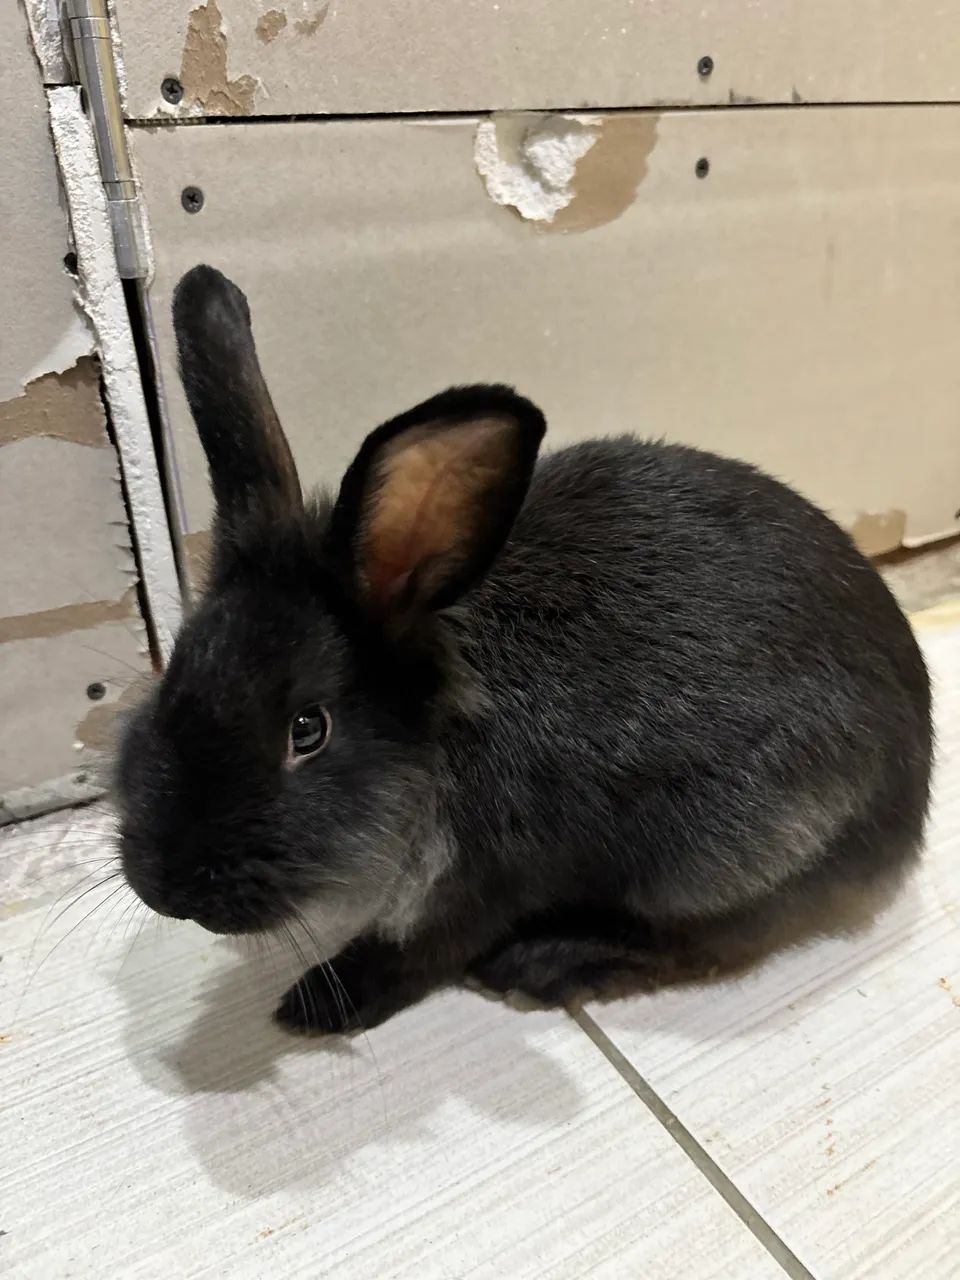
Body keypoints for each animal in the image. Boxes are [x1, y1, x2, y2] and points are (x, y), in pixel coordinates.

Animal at [116, 264, 932, 1034]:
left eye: (307, 730)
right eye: (173, 679)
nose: (167, 889)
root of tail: (909, 808)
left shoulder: (479, 881)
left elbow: (417, 952)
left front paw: (318, 1006)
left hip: (737, 855)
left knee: (714, 944)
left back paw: (549, 963)